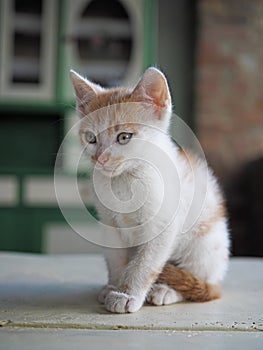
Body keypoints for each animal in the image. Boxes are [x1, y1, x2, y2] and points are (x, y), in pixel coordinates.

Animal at [70, 67, 231, 314]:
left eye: (124, 137)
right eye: (91, 138)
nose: (101, 159)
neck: (124, 181)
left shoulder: (163, 225)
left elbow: (145, 264)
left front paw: (127, 294)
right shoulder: (109, 225)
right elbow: (117, 260)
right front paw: (114, 287)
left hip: (205, 244)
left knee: (203, 285)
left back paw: (167, 290)